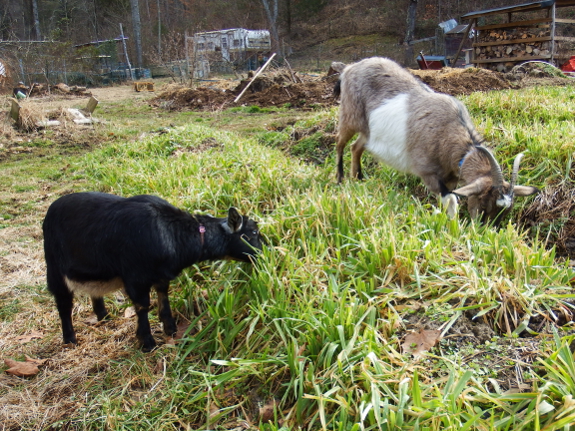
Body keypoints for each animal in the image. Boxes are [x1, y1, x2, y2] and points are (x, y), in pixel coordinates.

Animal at [42, 194, 264, 352]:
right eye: (252, 233)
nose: (264, 255)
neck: (173, 233)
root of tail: (52, 209)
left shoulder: (161, 275)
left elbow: (163, 296)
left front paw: (170, 328)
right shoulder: (135, 277)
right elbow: (142, 306)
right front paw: (147, 342)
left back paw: (104, 316)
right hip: (54, 267)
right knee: (63, 303)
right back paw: (70, 339)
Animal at [332, 57, 540, 224]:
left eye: (505, 212)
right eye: (483, 202)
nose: (485, 229)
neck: (448, 133)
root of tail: (350, 67)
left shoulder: (451, 178)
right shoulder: (429, 173)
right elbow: (451, 200)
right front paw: (453, 226)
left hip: (368, 131)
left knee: (356, 147)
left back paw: (357, 178)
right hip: (349, 115)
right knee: (340, 144)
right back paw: (340, 179)